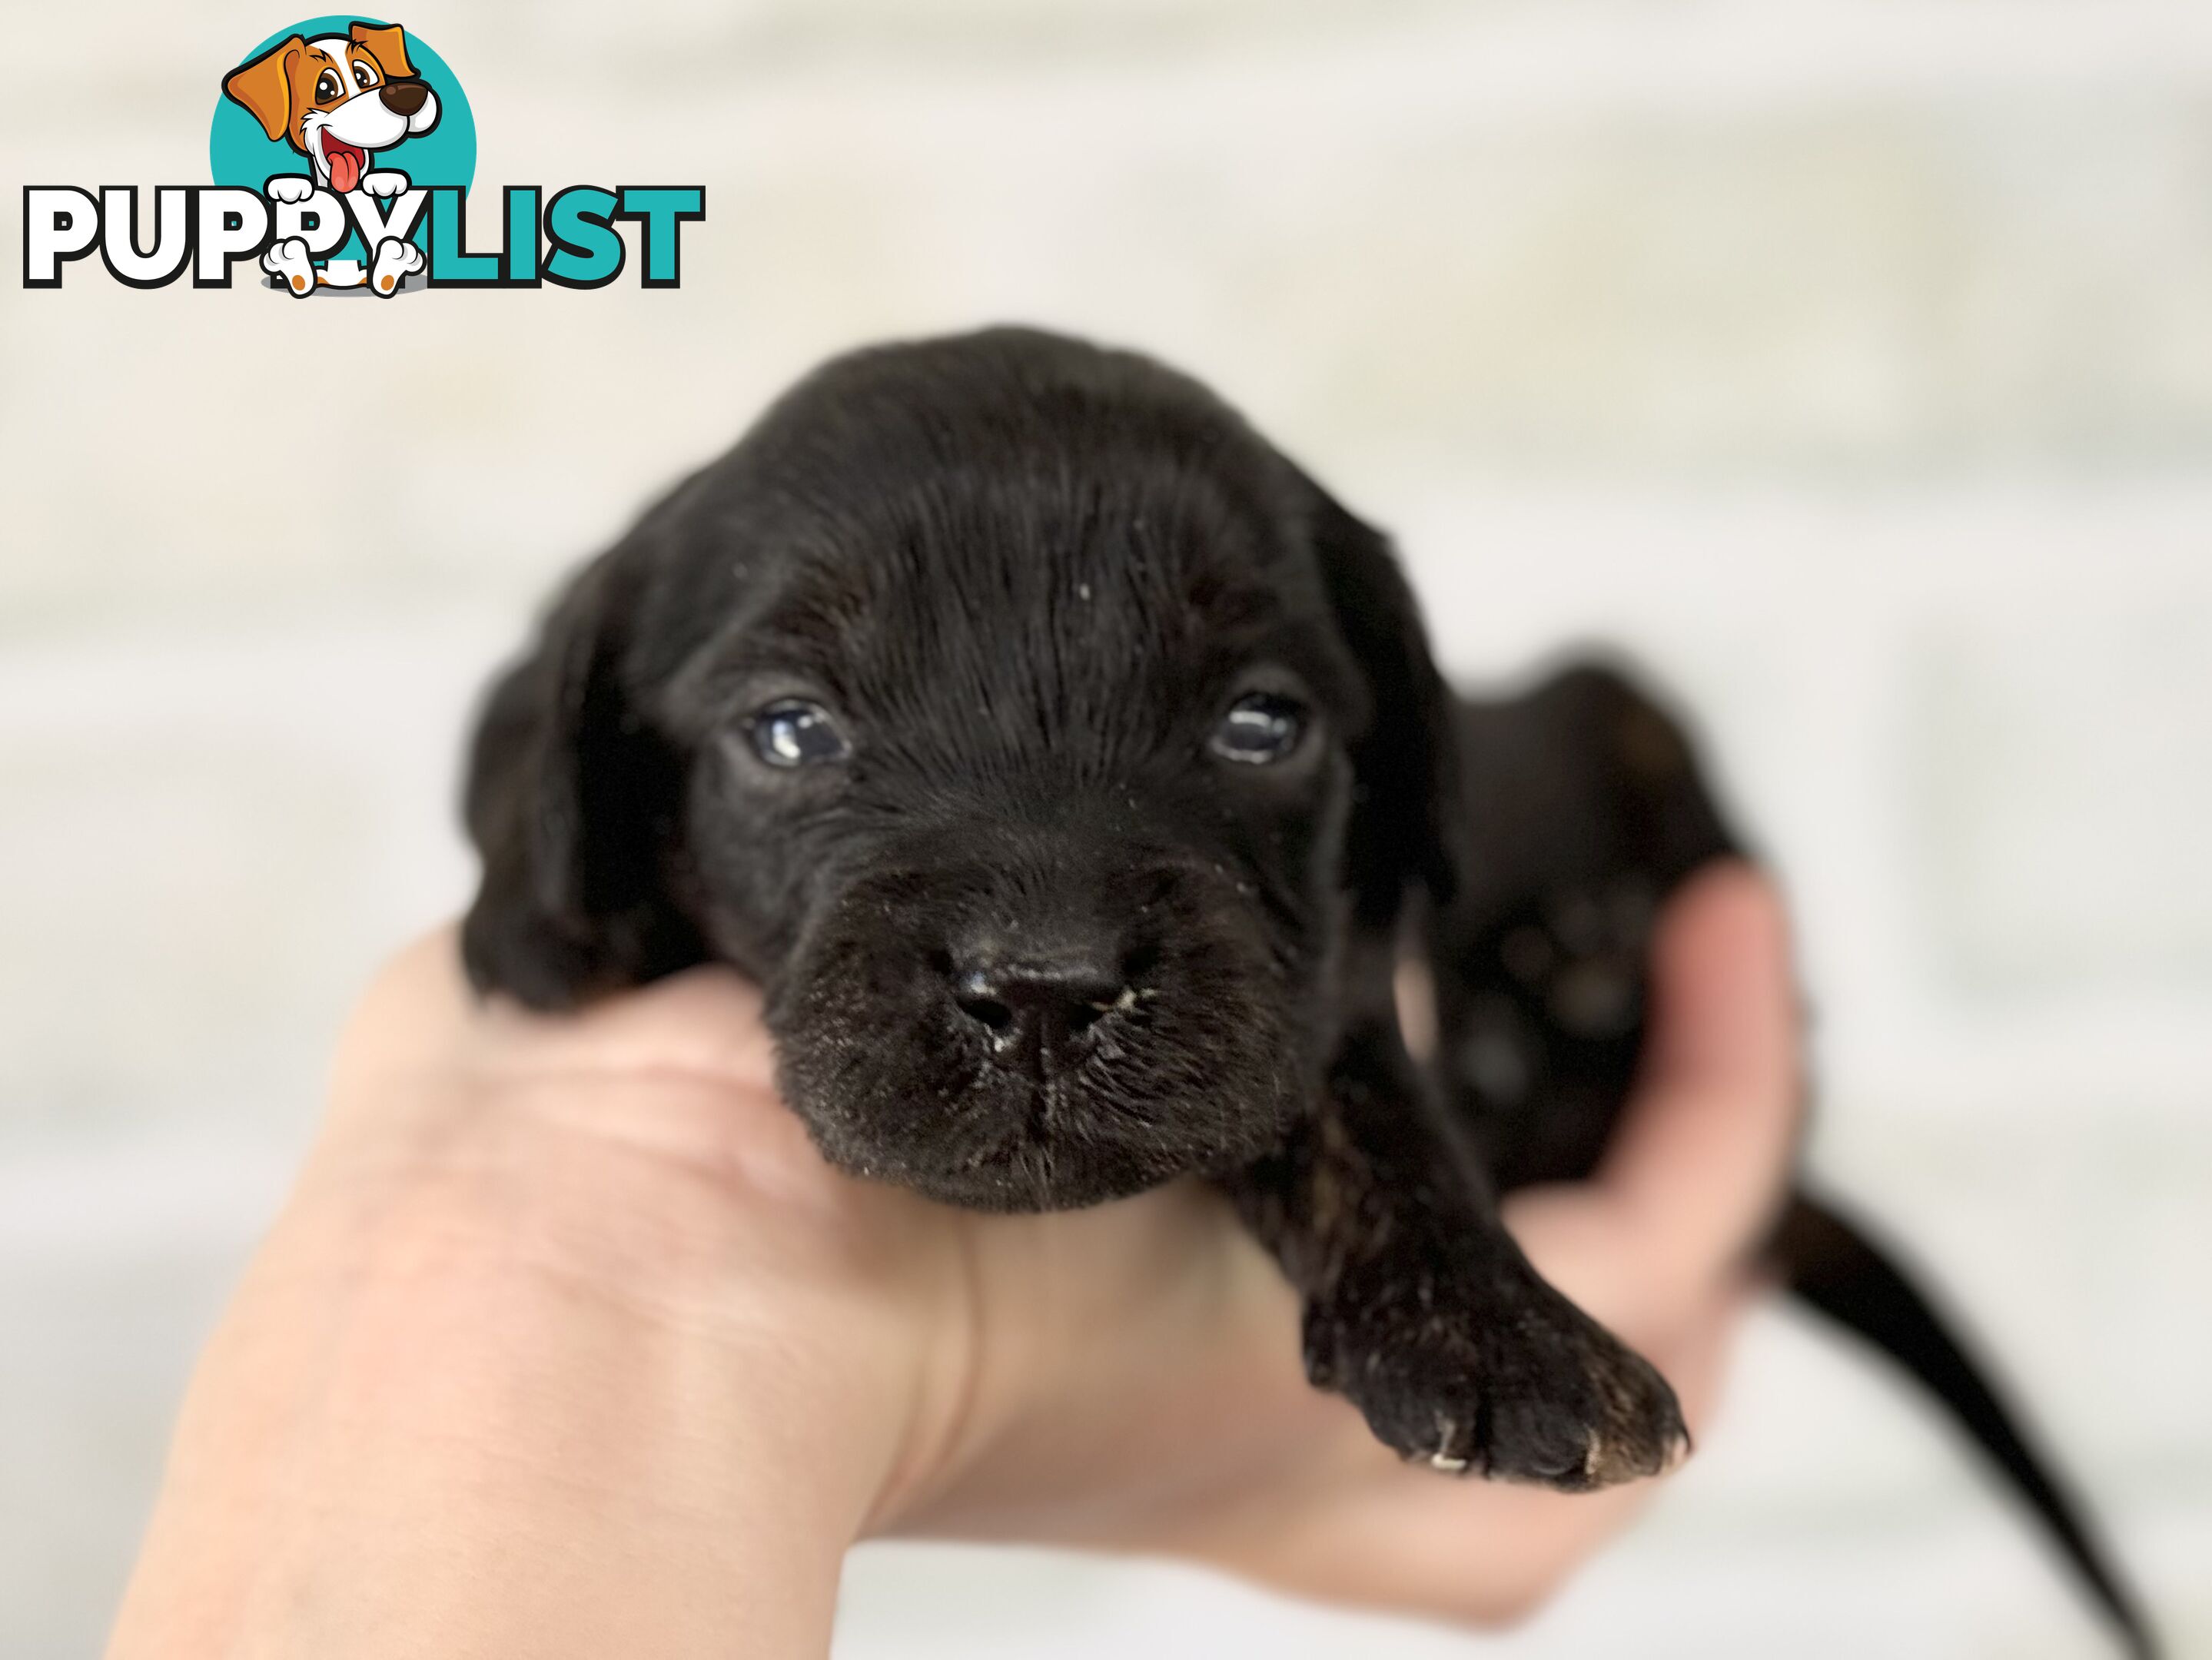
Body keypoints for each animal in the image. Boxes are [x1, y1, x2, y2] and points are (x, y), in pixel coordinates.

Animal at [471, 324, 2158, 1653]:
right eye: (789, 731)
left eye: (1259, 723)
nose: (1046, 986)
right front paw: (533, 923)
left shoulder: (1329, 976)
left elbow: (1365, 1109)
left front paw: (1503, 1337)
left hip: (1624, 708)